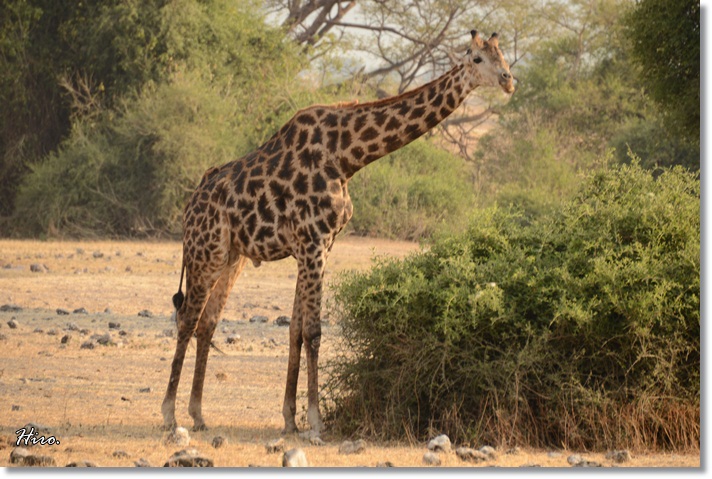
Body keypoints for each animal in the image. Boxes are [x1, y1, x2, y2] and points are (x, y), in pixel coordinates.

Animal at [163, 28, 512, 436]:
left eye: (503, 55)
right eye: (477, 58)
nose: (508, 80)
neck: (347, 157)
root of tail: (191, 204)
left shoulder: (319, 245)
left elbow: (296, 330)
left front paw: (290, 419)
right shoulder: (313, 243)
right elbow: (313, 331)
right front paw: (315, 421)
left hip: (232, 257)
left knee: (207, 323)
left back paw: (198, 414)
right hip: (205, 253)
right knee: (187, 318)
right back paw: (169, 414)